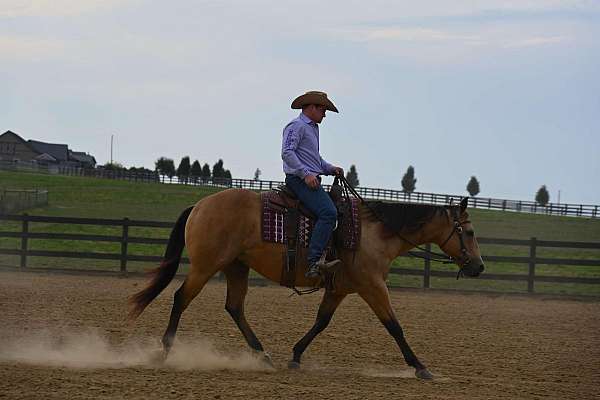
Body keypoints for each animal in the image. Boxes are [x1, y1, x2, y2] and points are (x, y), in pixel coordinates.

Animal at [127, 186, 482, 380]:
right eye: (469, 231)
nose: (478, 266)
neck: (374, 234)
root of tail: (200, 205)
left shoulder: (340, 289)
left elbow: (321, 321)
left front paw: (296, 356)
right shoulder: (372, 287)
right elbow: (395, 327)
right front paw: (420, 367)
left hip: (236, 268)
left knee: (234, 307)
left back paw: (263, 355)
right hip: (205, 267)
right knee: (180, 298)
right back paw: (165, 350)